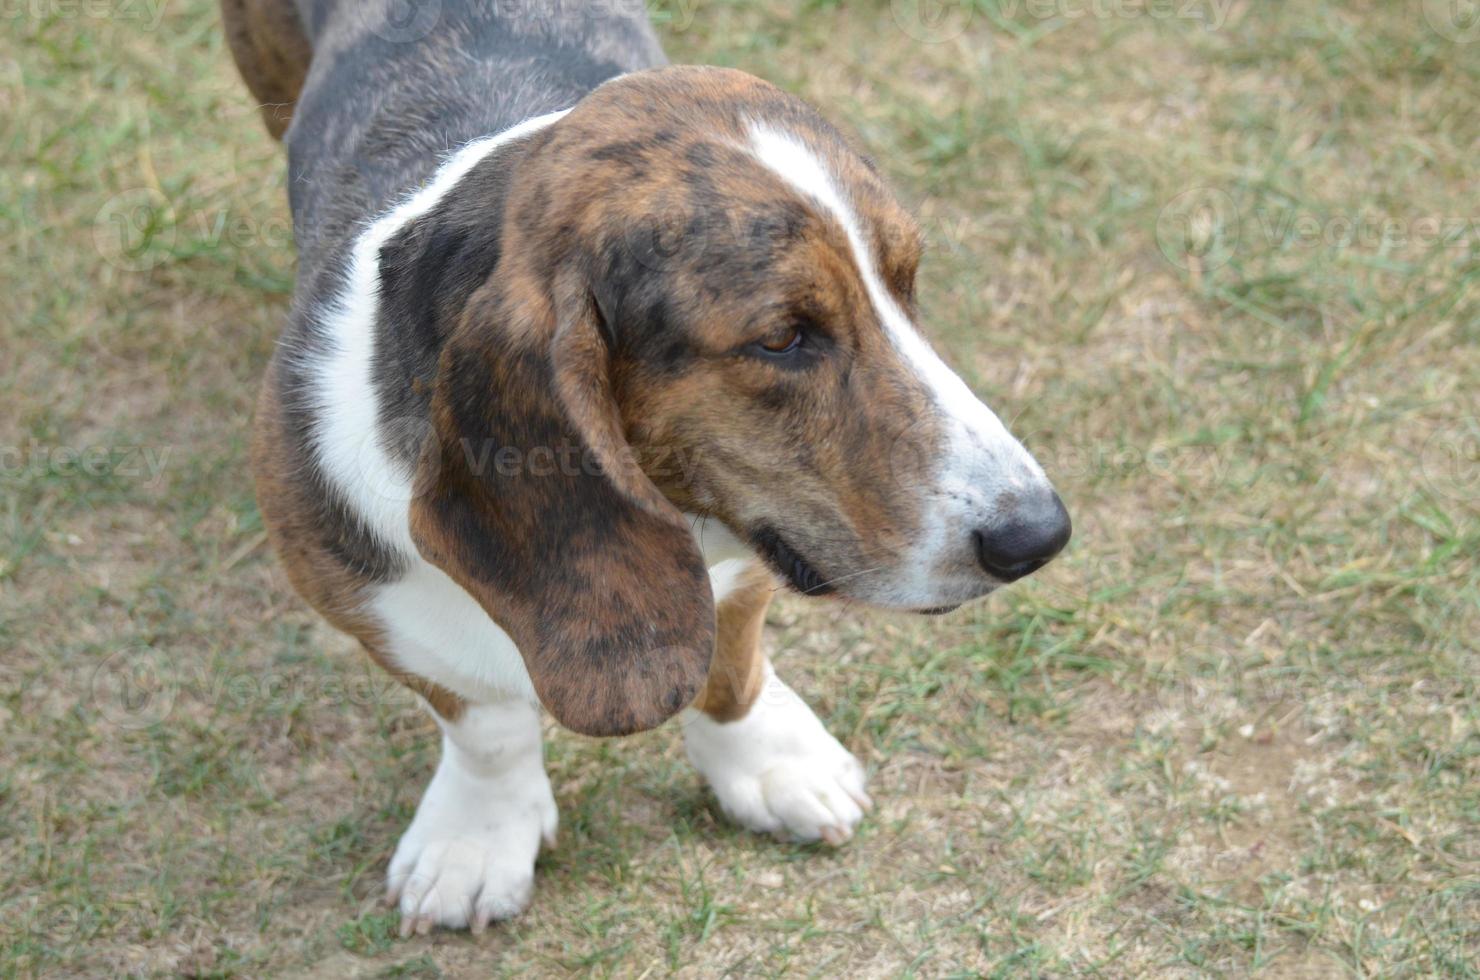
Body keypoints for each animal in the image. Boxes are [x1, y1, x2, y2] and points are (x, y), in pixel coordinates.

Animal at [219, 0, 1071, 935]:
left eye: (907, 281)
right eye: (783, 338)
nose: (1039, 536)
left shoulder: (748, 546)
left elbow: (728, 673)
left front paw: (770, 762)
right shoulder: (369, 603)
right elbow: (486, 727)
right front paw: (475, 840)